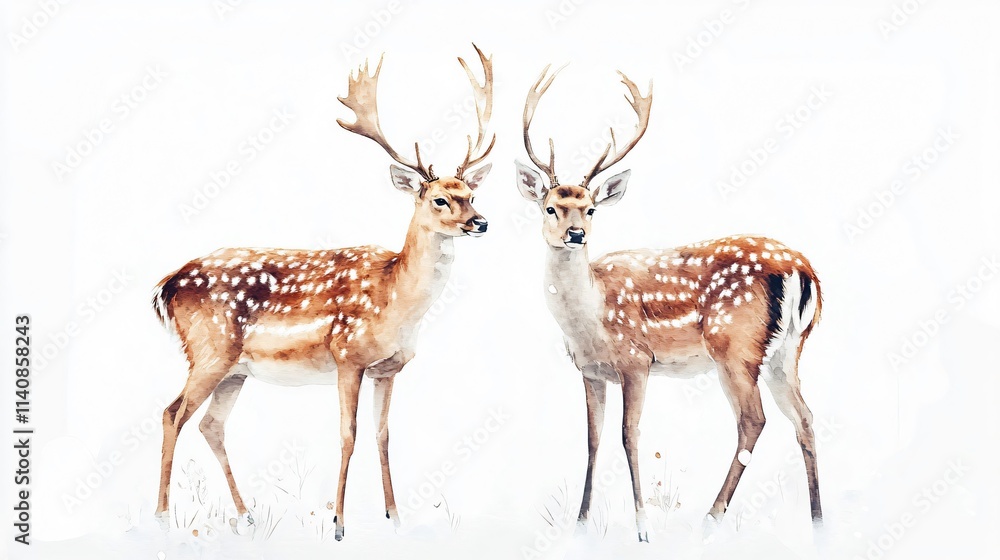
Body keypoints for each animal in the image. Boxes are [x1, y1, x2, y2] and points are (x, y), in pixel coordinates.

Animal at [151, 45, 495, 541]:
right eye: (439, 199)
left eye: (471, 193)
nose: (480, 222)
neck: (394, 303)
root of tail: (168, 283)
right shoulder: (347, 356)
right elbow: (348, 434)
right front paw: (338, 524)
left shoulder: (388, 369)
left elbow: (383, 434)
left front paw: (395, 518)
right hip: (208, 349)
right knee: (172, 413)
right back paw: (160, 518)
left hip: (235, 370)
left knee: (211, 426)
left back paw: (246, 515)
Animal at [514, 64, 823, 542]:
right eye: (550, 208)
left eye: (591, 209)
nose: (575, 234)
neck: (590, 320)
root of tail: (803, 271)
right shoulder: (590, 371)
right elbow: (593, 439)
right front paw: (580, 524)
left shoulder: (636, 360)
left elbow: (629, 435)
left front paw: (642, 530)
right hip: (787, 351)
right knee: (804, 419)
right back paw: (818, 522)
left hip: (736, 347)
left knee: (753, 420)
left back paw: (710, 519)